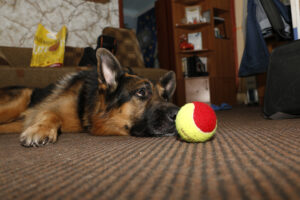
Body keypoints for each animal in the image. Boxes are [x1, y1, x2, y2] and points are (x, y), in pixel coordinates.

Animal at [0, 48, 178, 147]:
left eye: (165, 97)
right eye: (141, 92)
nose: (177, 113)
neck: (87, 104)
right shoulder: (45, 109)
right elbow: (51, 115)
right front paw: (41, 129)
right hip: (21, 99)